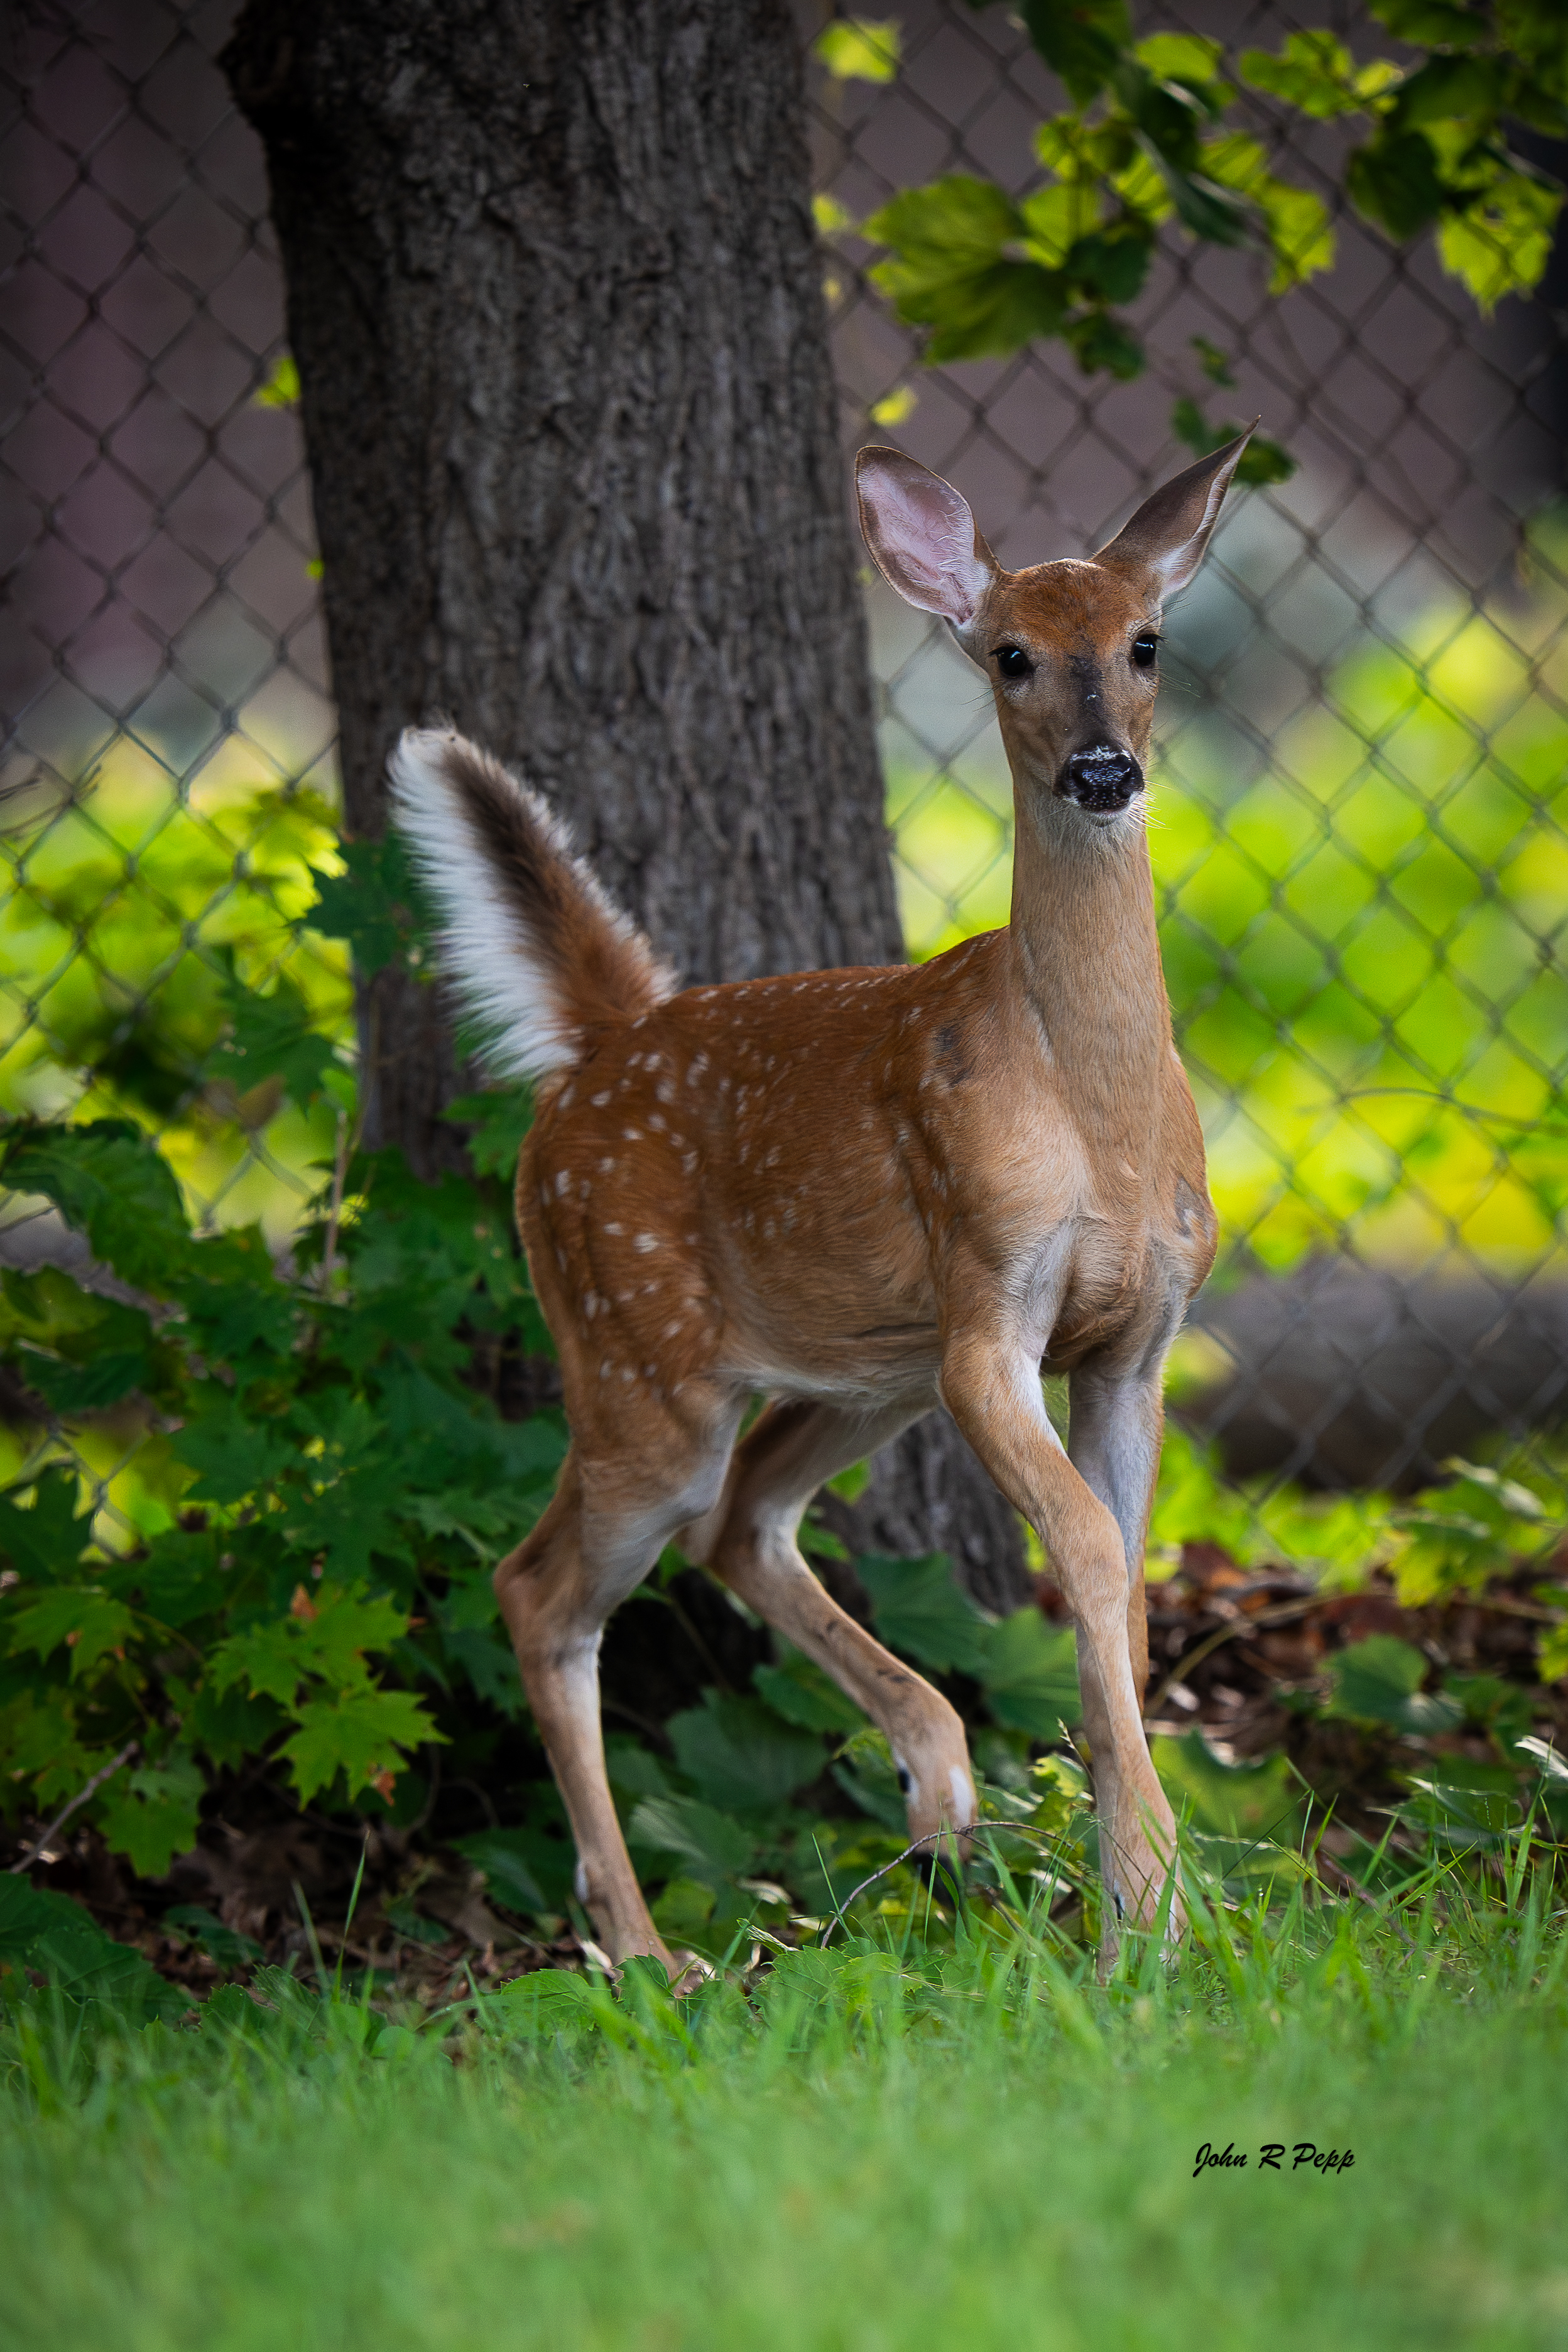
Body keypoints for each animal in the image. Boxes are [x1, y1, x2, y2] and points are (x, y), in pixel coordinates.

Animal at [389, 426, 1254, 1975]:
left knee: (742, 1521)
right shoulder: (988, 1312)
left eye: (1146, 643)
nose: (1102, 770)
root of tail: (602, 1044)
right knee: (540, 1586)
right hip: (635, 1353)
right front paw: (1146, 1908)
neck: (1094, 1109)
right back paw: (644, 1952)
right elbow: (1091, 1555)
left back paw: (939, 1792)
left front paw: (1136, 1905)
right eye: (1011, 656)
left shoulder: (1139, 1339)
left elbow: (1130, 1585)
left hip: (863, 1368)